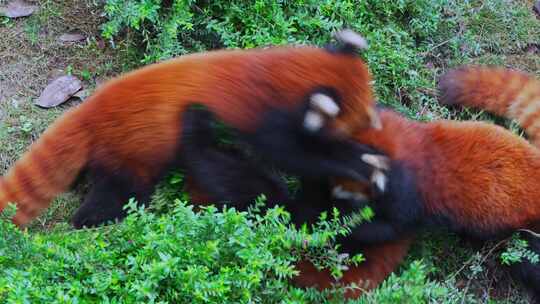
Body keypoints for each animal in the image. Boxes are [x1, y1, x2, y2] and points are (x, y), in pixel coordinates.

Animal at [0, 30, 384, 229]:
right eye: (362, 121)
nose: (378, 122)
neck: (278, 71)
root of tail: (89, 110)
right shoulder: (262, 114)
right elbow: (294, 155)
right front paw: (359, 161)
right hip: (131, 151)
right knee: (120, 194)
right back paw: (91, 221)